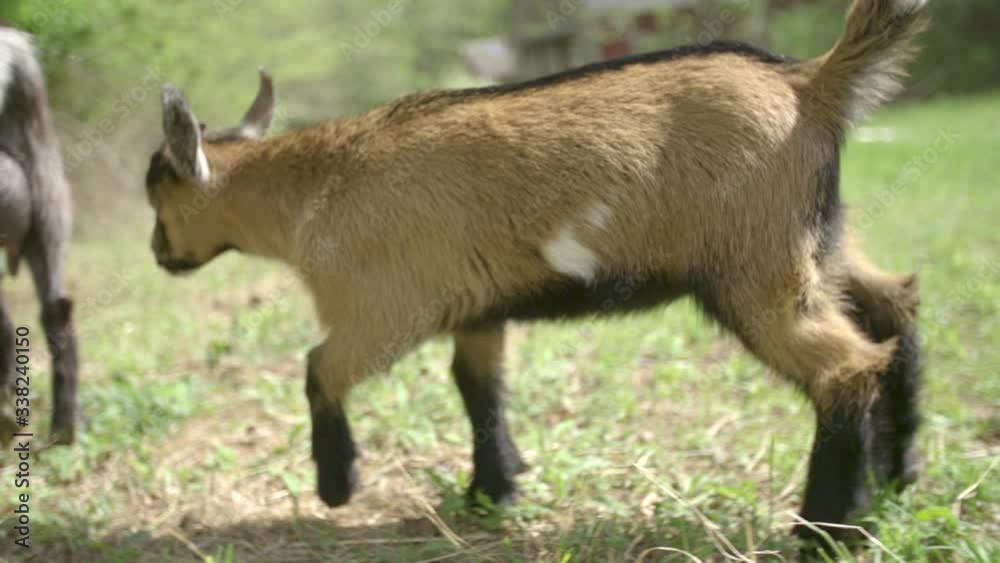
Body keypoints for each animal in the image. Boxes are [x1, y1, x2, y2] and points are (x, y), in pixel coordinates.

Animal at [146, 1, 928, 548]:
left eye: (158, 198)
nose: (158, 254)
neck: (318, 186)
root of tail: (810, 81)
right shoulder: (475, 306)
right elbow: (477, 386)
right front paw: (493, 491)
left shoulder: (383, 308)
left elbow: (319, 368)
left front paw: (338, 487)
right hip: (820, 243)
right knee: (895, 308)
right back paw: (897, 479)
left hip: (753, 265)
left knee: (845, 367)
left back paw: (822, 534)